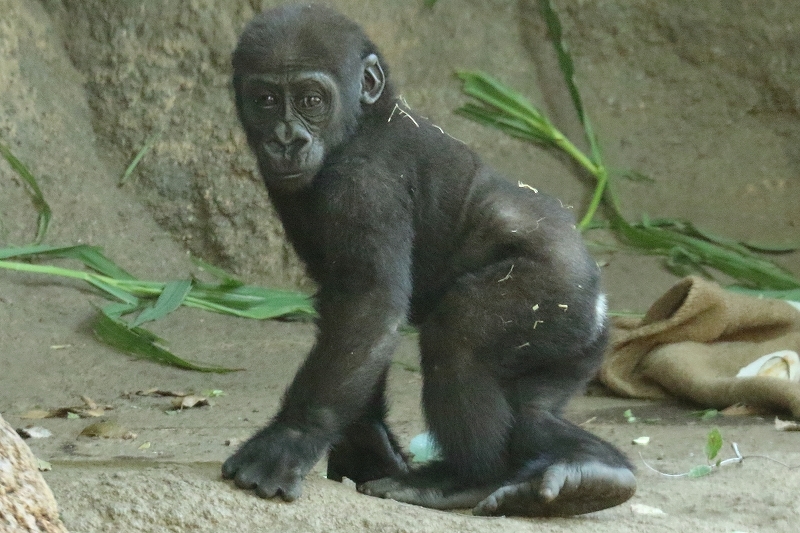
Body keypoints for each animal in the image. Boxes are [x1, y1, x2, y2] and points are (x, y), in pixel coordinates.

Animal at [222, 2, 636, 512]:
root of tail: (601, 306)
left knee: (458, 336)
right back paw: (593, 471)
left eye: (312, 100)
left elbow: (368, 305)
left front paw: (291, 438)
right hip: (577, 348)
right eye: (264, 100)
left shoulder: (363, 184)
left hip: (557, 293)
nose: (286, 140)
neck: (367, 120)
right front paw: (367, 443)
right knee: (533, 412)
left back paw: (465, 477)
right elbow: (346, 309)